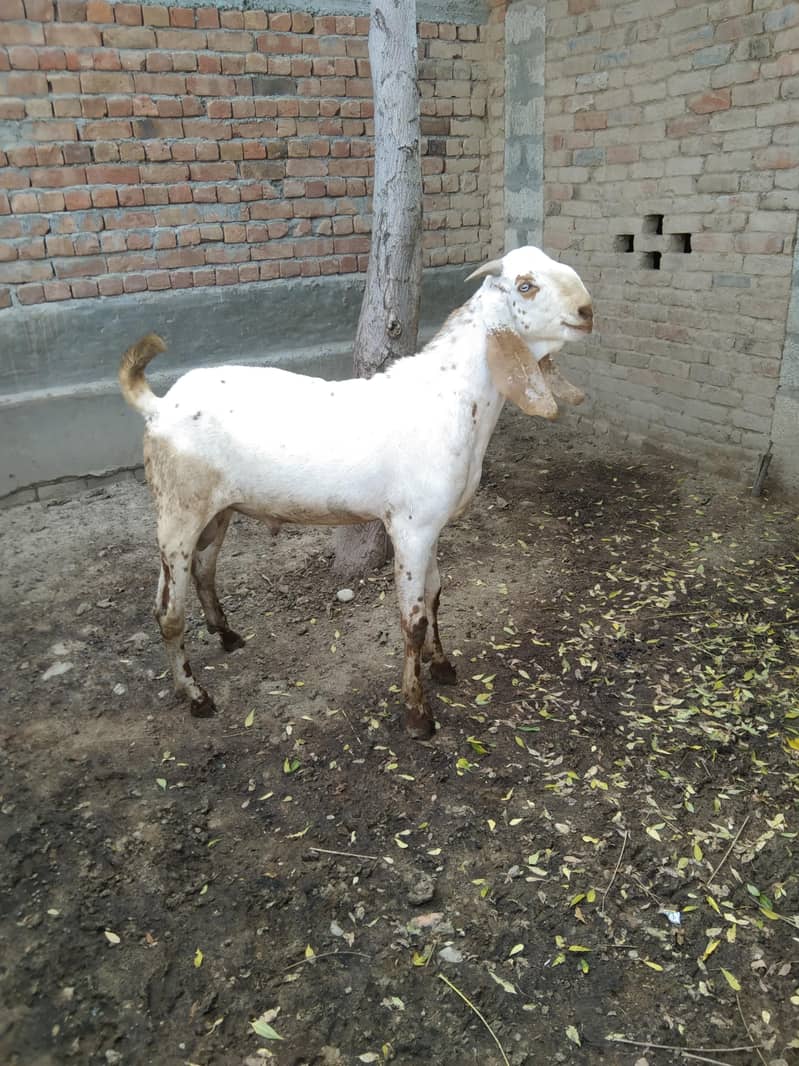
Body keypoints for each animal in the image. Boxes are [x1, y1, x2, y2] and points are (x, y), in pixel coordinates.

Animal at [119, 246, 592, 739]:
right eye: (525, 285)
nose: (587, 311)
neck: (452, 398)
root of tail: (158, 405)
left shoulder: (431, 524)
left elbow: (436, 594)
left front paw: (442, 666)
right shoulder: (410, 527)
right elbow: (413, 619)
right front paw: (417, 714)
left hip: (216, 510)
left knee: (202, 572)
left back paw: (227, 636)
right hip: (177, 510)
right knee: (168, 612)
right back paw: (195, 695)